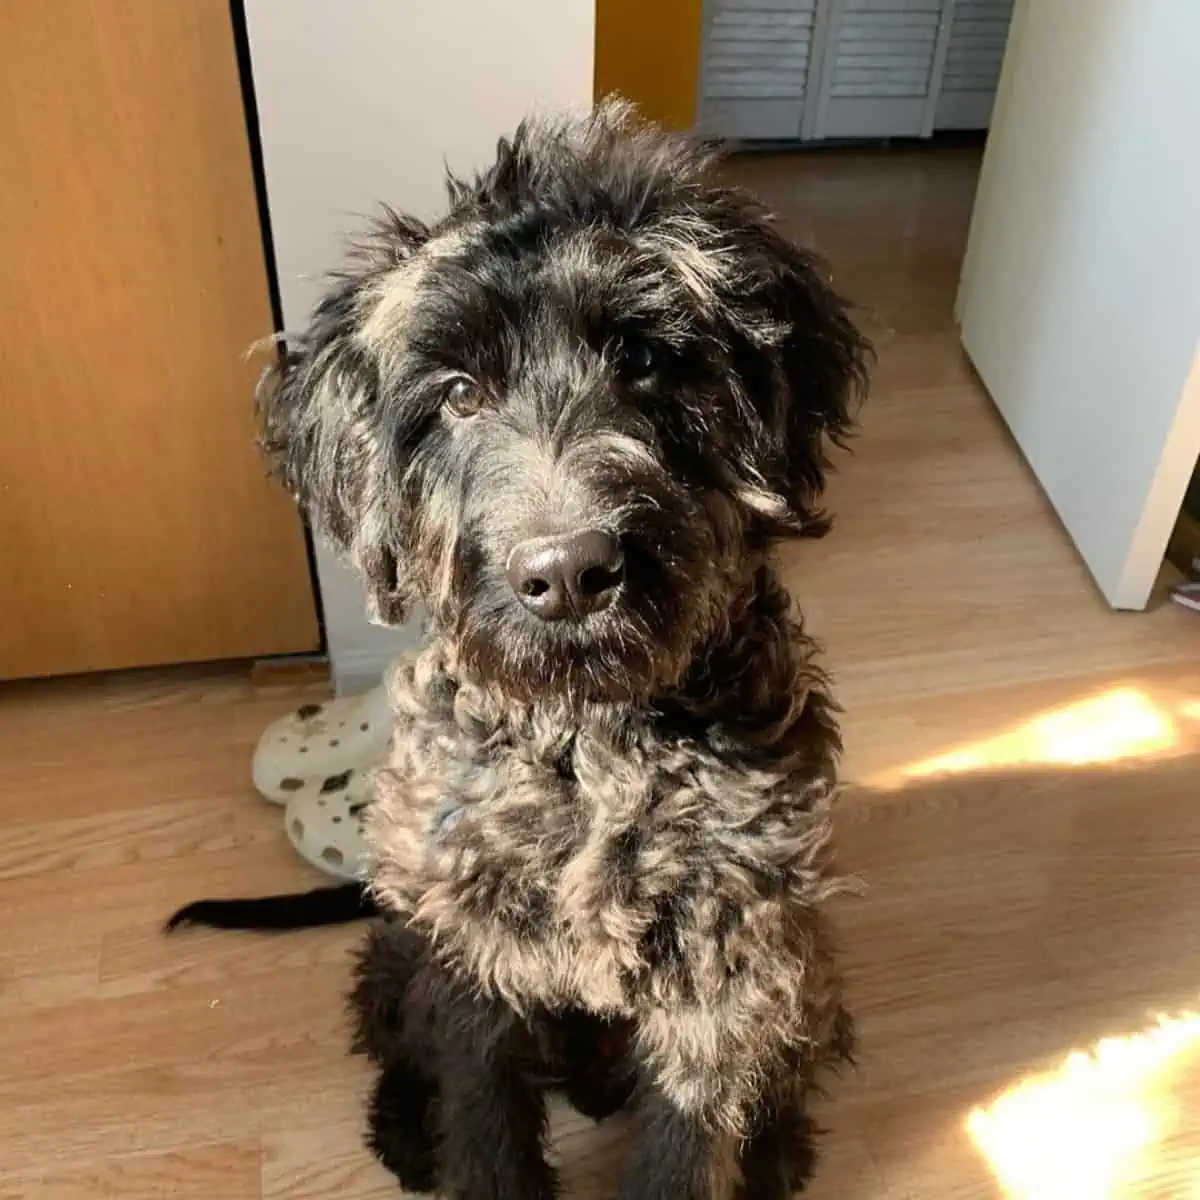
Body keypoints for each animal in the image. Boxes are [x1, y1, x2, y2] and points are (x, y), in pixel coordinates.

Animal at [169, 100, 868, 1200]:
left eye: (645, 360)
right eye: (457, 393)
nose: (569, 572)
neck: (588, 746)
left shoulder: (729, 946)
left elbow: (691, 1135)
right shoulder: (467, 948)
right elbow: (485, 1116)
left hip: (806, 958)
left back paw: (771, 1146)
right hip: (401, 941)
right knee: (392, 1033)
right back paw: (408, 1129)